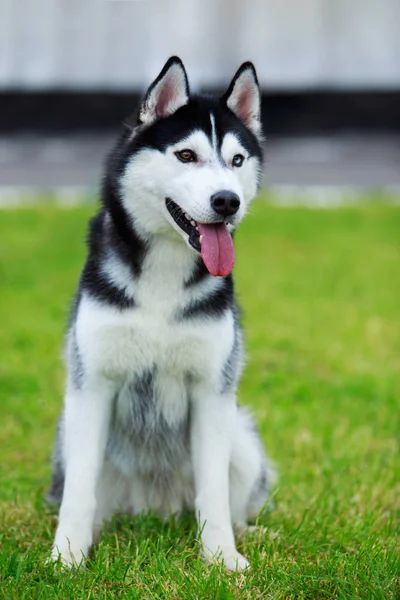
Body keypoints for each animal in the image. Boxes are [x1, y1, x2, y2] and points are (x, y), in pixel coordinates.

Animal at [48, 56, 276, 572]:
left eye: (237, 160)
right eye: (186, 155)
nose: (227, 201)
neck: (164, 277)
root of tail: (155, 510)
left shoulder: (212, 391)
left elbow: (213, 492)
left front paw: (220, 558)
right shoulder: (93, 385)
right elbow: (79, 493)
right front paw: (67, 556)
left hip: (243, 437)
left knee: (232, 498)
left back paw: (249, 532)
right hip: (70, 434)